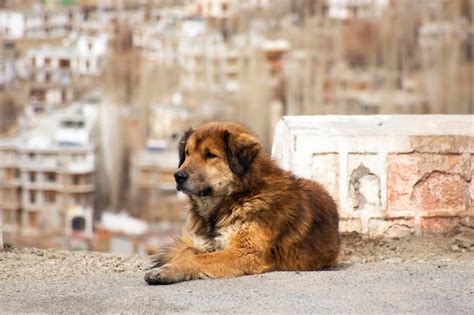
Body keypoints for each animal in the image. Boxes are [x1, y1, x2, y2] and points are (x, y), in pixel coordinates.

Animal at [143, 122, 338, 286]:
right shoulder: (212, 245)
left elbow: (197, 259)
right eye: (187, 153)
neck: (242, 195)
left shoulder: (247, 251)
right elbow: (188, 251)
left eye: (210, 155)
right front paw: (165, 267)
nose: (178, 176)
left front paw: (167, 271)